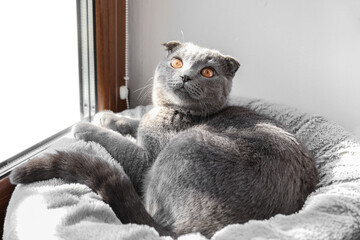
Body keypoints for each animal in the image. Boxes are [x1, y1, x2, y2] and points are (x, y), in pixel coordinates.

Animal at [9, 41, 316, 238]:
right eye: (176, 62)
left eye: (207, 72)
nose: (185, 75)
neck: (171, 110)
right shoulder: (146, 122)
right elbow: (134, 123)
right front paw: (107, 116)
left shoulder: (147, 159)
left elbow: (121, 143)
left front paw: (85, 125)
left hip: (181, 149)